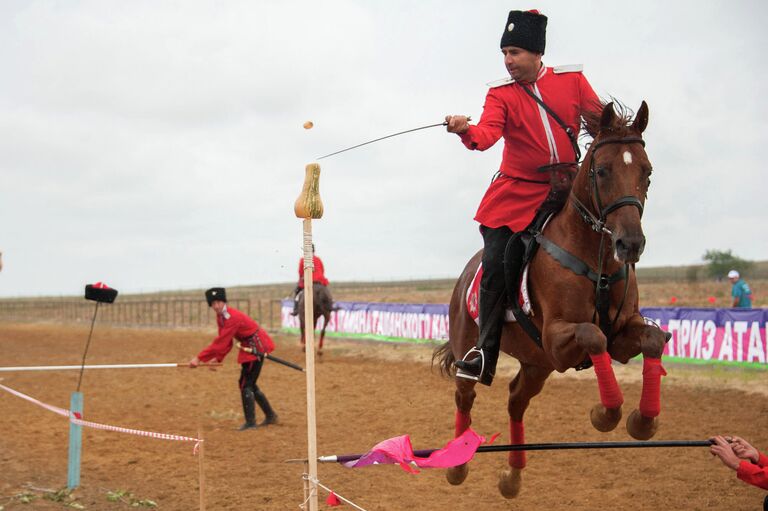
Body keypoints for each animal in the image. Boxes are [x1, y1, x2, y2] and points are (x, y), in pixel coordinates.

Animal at [436, 101, 668, 500]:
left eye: (647, 172)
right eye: (602, 171)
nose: (630, 244)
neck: (595, 259)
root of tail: (466, 274)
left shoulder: (621, 335)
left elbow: (650, 338)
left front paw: (642, 420)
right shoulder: (558, 340)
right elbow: (593, 335)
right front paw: (605, 414)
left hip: (536, 364)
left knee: (516, 400)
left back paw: (512, 477)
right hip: (478, 350)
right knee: (465, 396)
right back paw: (457, 464)